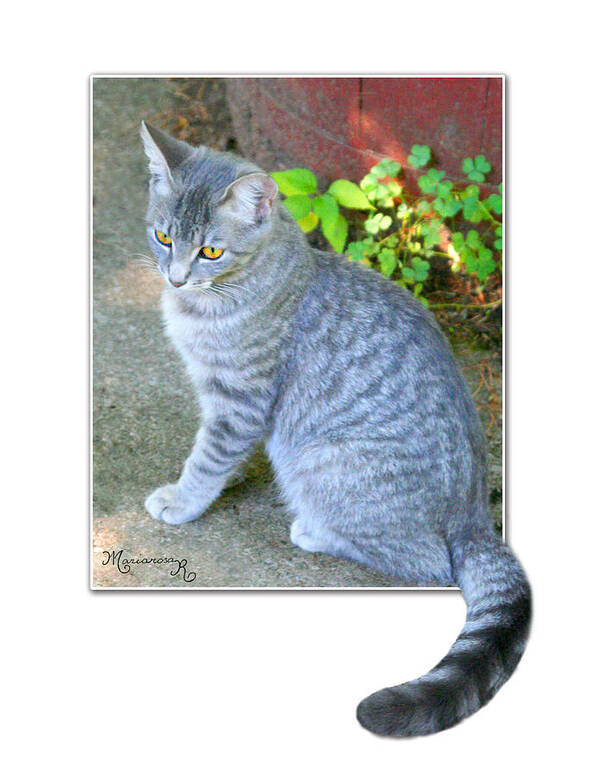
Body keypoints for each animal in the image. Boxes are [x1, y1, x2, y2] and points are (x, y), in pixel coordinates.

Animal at [139, 118, 528, 736]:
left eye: (210, 251)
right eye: (162, 237)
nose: (176, 279)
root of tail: (474, 520)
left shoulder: (239, 402)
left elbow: (206, 462)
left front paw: (182, 499)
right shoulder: (226, 403)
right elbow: (221, 457)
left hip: (321, 463)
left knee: (428, 560)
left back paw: (315, 531)